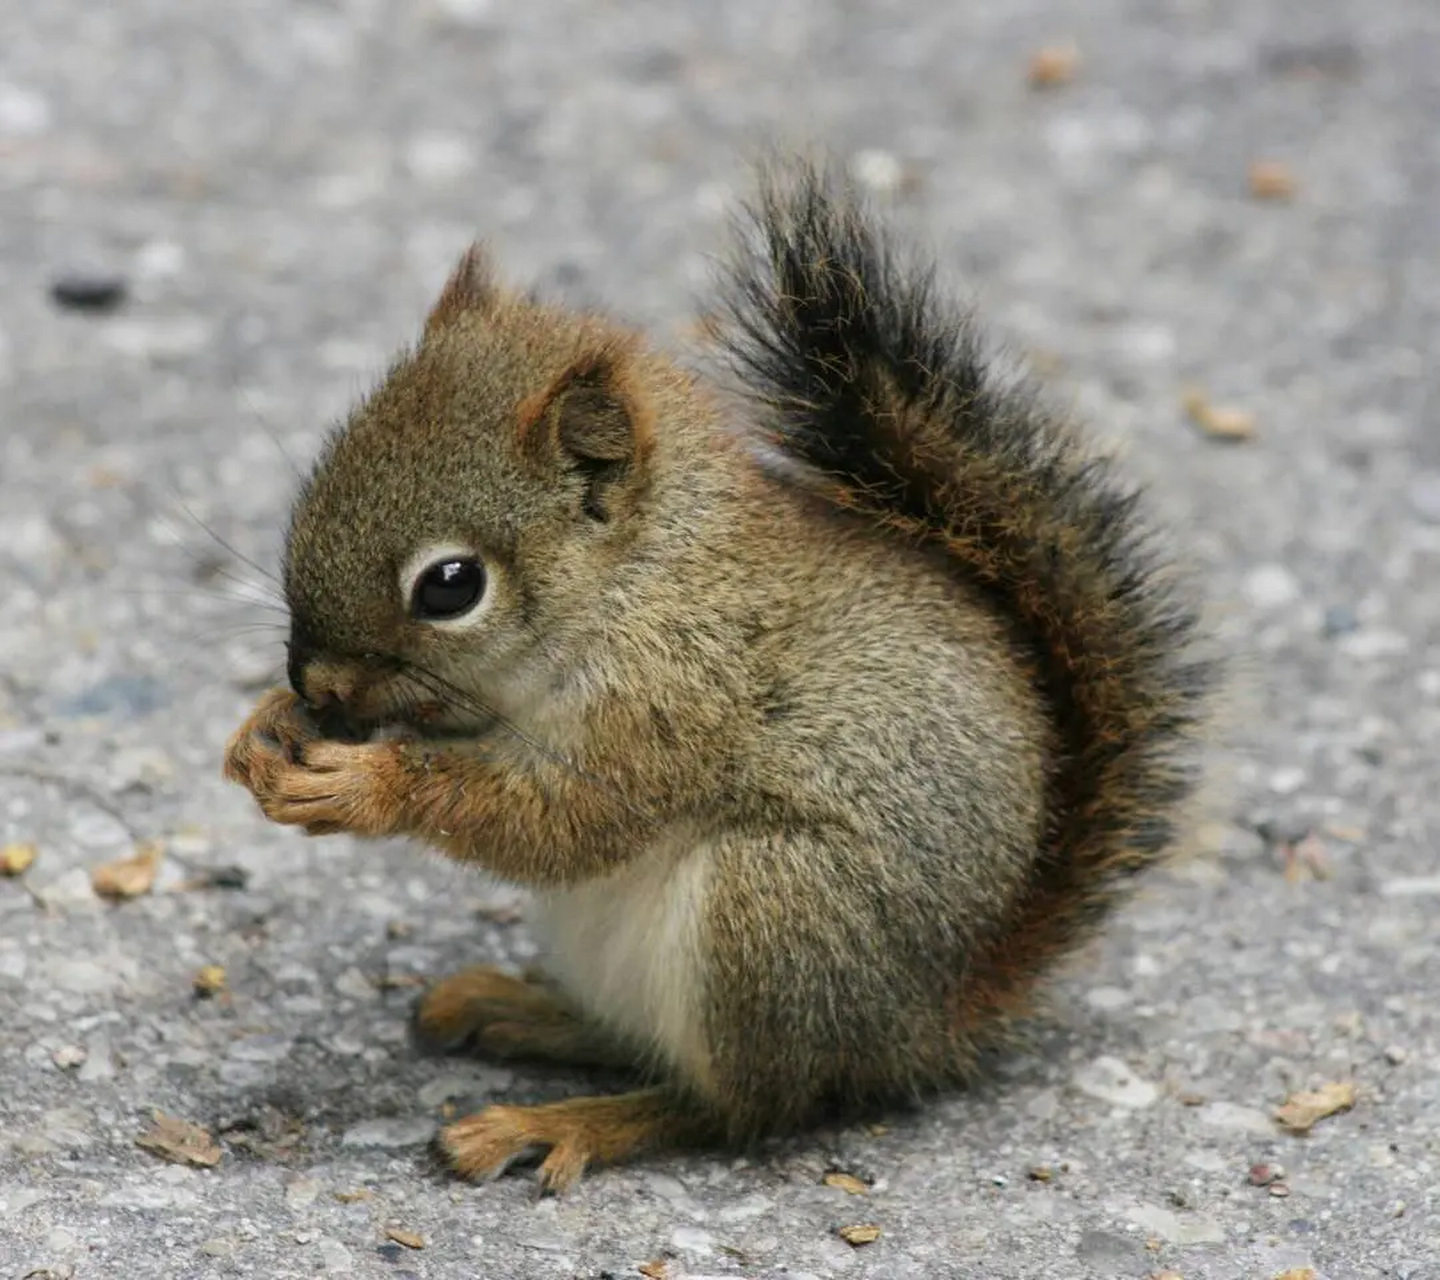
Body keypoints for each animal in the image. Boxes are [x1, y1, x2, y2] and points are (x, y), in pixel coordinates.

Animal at [221, 157, 1215, 1186]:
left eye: (451, 586)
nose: (317, 684)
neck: (638, 581)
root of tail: (929, 1022)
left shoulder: (673, 699)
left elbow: (565, 821)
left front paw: (364, 785)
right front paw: (264, 732)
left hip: (772, 915)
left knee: (736, 1109)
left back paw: (567, 1121)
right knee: (639, 1043)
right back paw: (522, 1010)